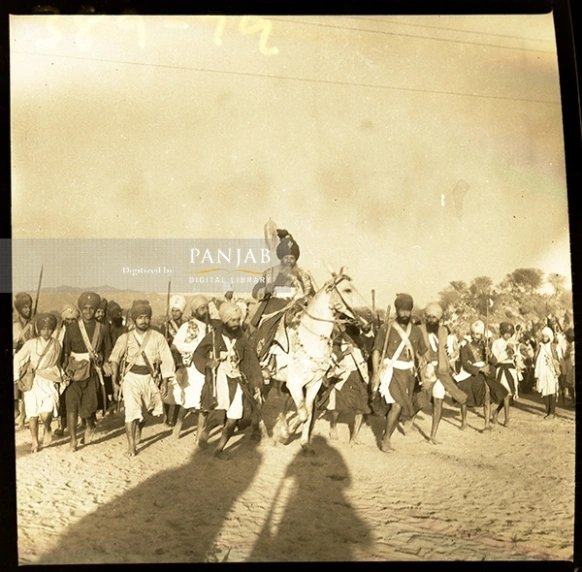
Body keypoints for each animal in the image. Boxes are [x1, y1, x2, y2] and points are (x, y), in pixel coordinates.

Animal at [260, 270, 360, 454]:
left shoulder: (314, 384)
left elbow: (306, 412)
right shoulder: (294, 384)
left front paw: (303, 442)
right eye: (347, 289)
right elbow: (304, 413)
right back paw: (263, 434)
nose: (363, 316)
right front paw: (285, 436)